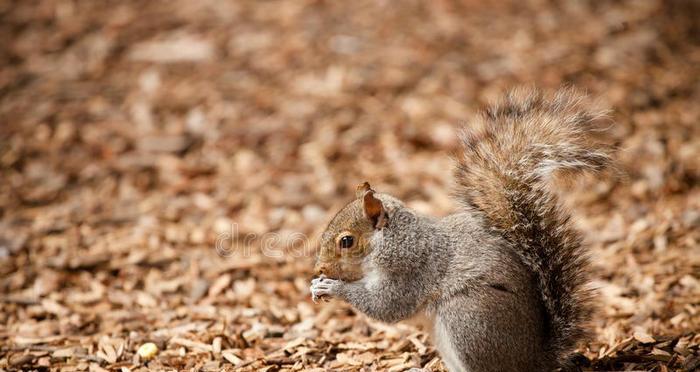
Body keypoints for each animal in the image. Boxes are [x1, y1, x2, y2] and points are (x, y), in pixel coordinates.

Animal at [310, 88, 612, 372]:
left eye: (346, 241)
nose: (320, 268)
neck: (393, 239)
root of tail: (535, 360)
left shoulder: (409, 270)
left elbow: (386, 306)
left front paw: (333, 287)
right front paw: (317, 285)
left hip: (467, 321)